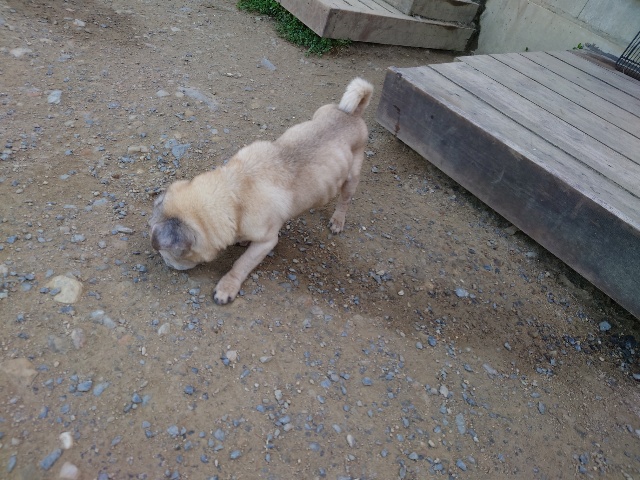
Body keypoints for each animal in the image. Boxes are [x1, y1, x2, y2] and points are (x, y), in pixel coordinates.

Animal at [150, 77, 373, 304]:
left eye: (168, 254)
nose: (167, 264)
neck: (234, 192)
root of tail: (353, 113)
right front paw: (242, 240)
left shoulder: (266, 242)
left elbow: (242, 263)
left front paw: (227, 286)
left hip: (351, 177)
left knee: (344, 200)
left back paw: (338, 221)